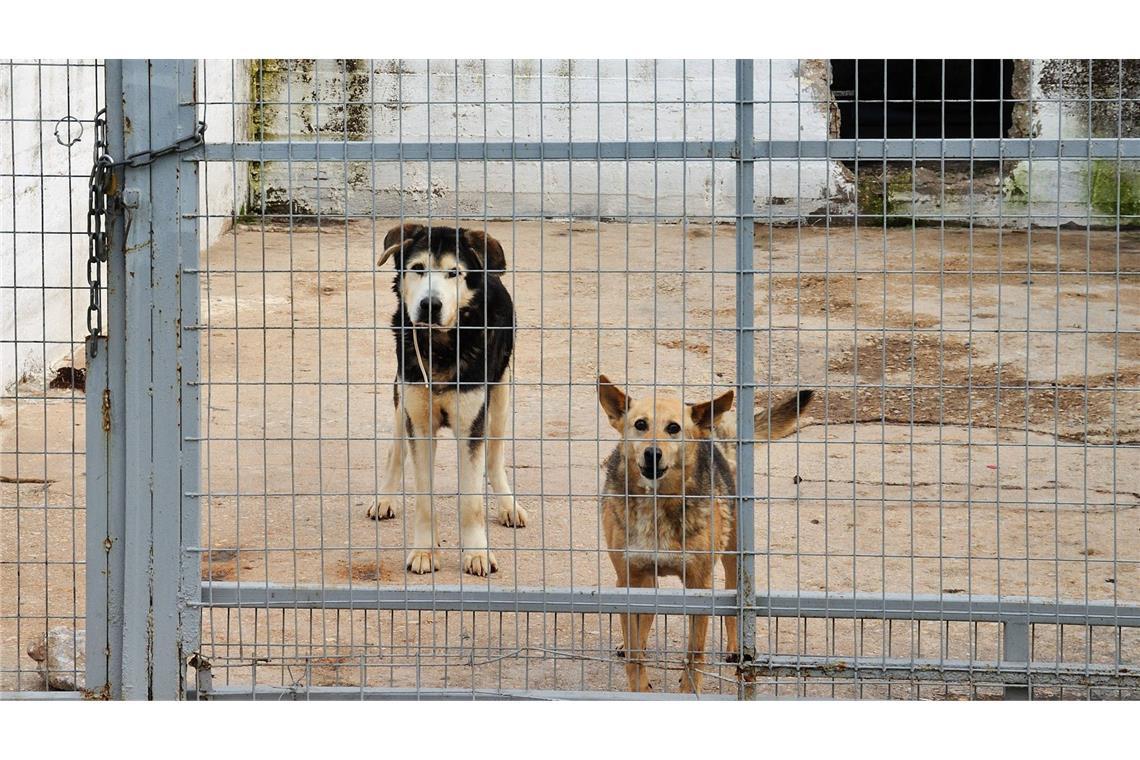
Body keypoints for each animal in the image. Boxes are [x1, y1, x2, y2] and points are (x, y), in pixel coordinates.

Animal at [367, 223, 526, 578]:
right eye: (417, 268)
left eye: (454, 273)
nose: (430, 305)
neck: (441, 347)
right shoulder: (418, 419)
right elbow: (423, 497)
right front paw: (425, 551)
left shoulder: (471, 425)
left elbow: (471, 501)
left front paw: (477, 554)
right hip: (400, 401)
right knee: (395, 451)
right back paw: (385, 498)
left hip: (500, 397)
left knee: (494, 458)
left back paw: (508, 505)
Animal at [597, 376, 811, 697]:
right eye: (640, 424)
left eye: (674, 428)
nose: (652, 454)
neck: (657, 504)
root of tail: (716, 433)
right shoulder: (630, 578)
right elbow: (635, 651)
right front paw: (639, 687)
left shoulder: (699, 584)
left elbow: (695, 652)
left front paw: (689, 690)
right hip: (641, 578)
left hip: (734, 558)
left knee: (735, 602)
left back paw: (737, 648)